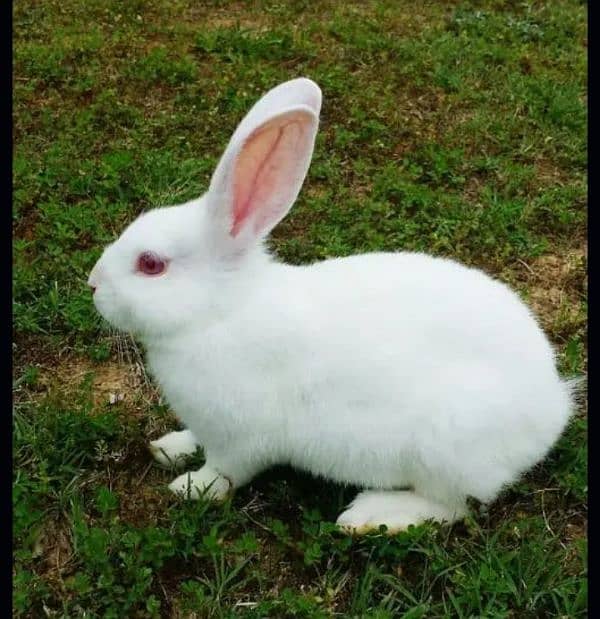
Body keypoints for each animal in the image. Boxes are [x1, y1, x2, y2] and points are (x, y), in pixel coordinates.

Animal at [88, 77, 576, 532]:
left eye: (151, 264)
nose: (92, 283)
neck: (219, 313)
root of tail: (552, 405)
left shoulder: (241, 441)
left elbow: (225, 473)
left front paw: (188, 487)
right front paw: (169, 446)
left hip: (445, 451)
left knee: (454, 507)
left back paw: (371, 515)